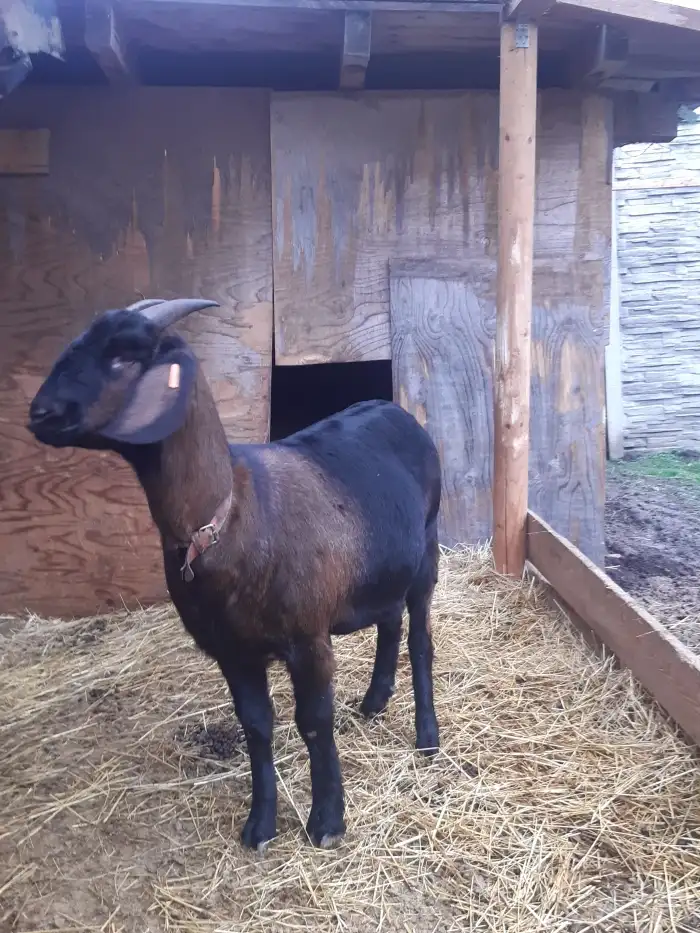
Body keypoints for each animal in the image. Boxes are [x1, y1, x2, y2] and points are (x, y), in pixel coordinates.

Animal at [27, 297, 442, 851]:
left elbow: (313, 723)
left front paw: (327, 822)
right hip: (382, 568)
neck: (229, 516)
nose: (40, 414)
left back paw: (427, 738)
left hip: (427, 553)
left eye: (124, 356)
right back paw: (375, 700)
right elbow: (256, 726)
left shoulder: (308, 639)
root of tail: (395, 409)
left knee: (419, 640)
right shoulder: (232, 650)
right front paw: (260, 824)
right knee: (390, 620)